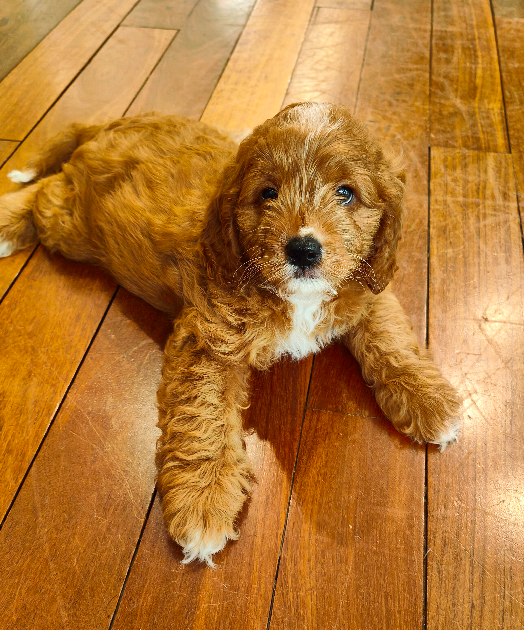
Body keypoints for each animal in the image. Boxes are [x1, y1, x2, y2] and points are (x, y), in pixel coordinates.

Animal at [0, 102, 461, 566]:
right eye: (268, 193)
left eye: (346, 193)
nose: (303, 249)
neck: (291, 295)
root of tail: (114, 122)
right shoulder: (208, 338)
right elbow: (204, 416)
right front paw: (203, 500)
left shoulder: (365, 283)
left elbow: (390, 336)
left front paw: (429, 400)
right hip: (72, 226)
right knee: (46, 193)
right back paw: (7, 222)